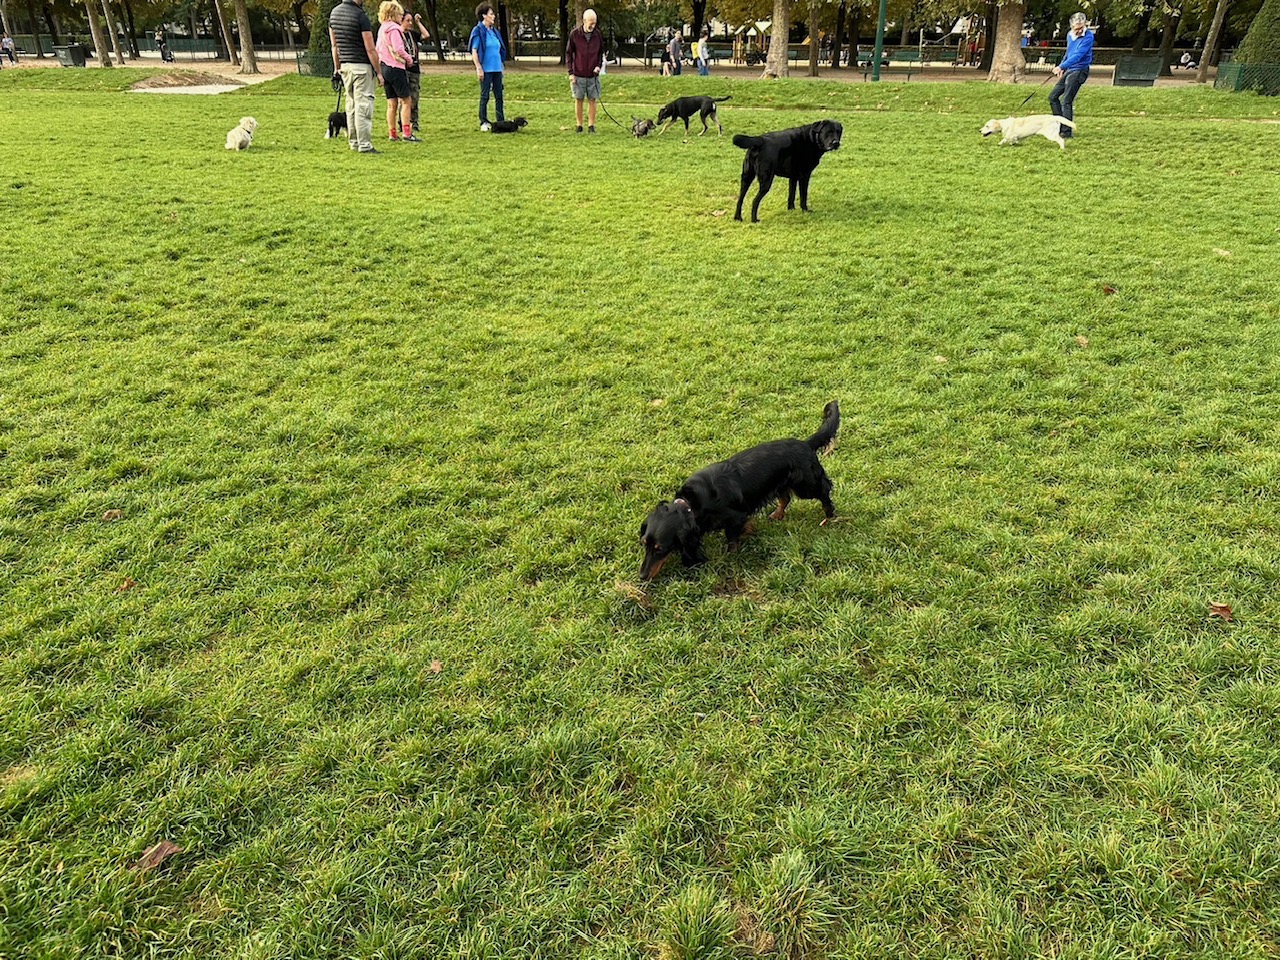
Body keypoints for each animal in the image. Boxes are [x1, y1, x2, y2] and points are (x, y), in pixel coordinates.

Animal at [640, 401, 839, 583]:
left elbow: (732, 539)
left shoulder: (735, 517)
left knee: (824, 489)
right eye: (644, 544)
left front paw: (730, 554)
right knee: (785, 498)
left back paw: (829, 514)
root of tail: (805, 444)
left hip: (806, 485)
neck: (692, 504)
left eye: (660, 549)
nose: (642, 576)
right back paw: (777, 514)